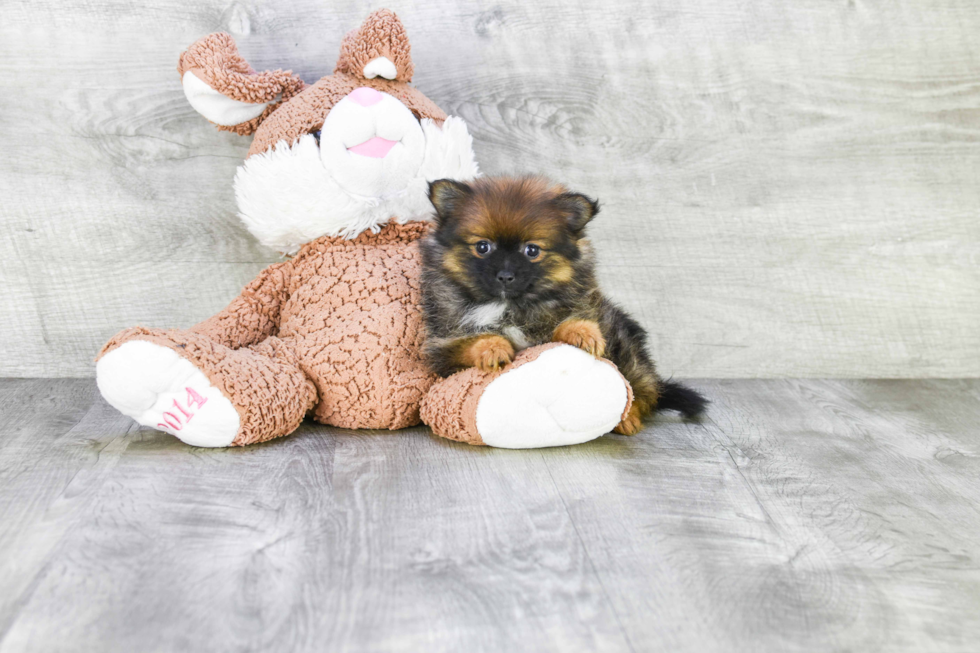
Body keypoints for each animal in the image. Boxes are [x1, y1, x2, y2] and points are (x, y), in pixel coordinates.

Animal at [418, 176, 708, 436]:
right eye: (482, 247)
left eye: (532, 251)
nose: (505, 275)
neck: (511, 305)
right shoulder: (443, 346)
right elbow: (469, 342)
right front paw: (491, 347)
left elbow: (569, 322)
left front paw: (581, 332)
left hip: (626, 348)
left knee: (641, 391)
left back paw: (628, 419)